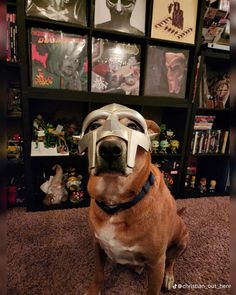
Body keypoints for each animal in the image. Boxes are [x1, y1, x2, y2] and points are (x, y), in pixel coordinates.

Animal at [80, 105, 188, 294]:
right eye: (94, 127)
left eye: (133, 126)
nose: (109, 149)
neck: (115, 203)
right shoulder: (97, 244)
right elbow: (98, 273)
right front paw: (94, 289)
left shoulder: (157, 261)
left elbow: (153, 289)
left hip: (182, 240)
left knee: (171, 260)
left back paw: (168, 277)